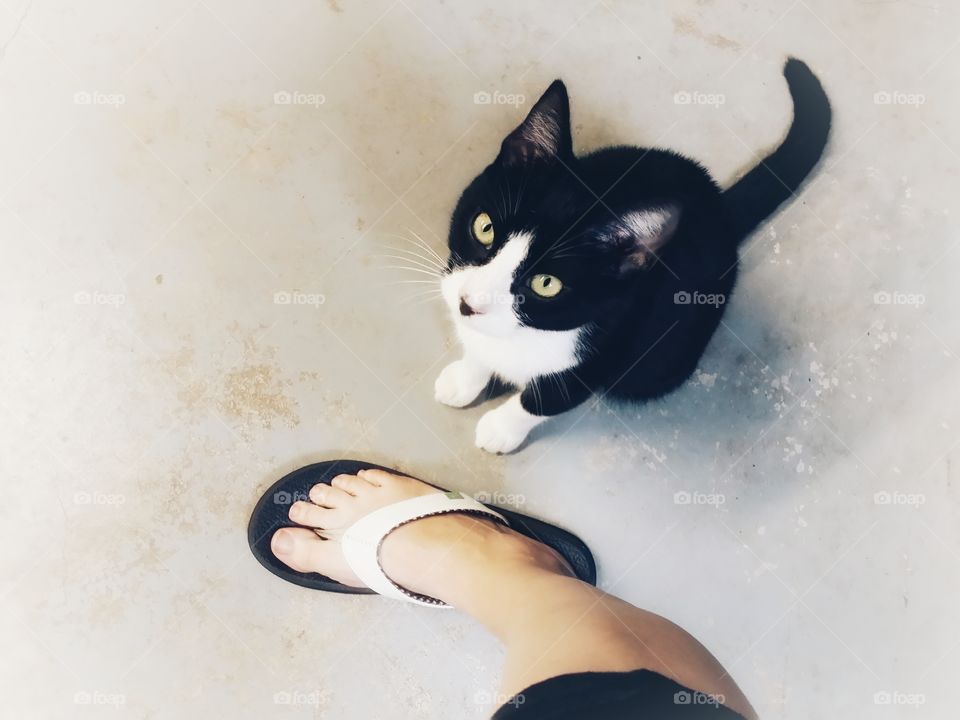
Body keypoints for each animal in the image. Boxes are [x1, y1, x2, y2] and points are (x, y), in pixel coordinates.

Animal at [438, 59, 828, 452]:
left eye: (546, 283)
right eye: (484, 228)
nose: (468, 303)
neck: (521, 335)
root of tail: (720, 205)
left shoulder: (610, 345)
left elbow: (545, 399)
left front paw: (501, 429)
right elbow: (478, 351)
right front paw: (464, 378)